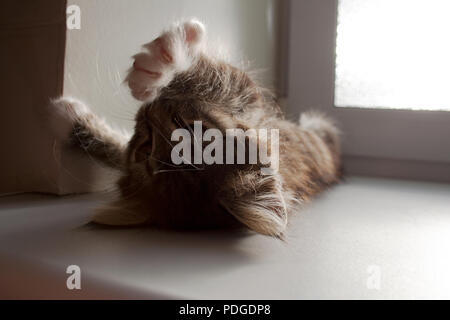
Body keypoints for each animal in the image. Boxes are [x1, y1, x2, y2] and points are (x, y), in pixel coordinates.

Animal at [51, 19, 340, 238]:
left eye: (190, 130)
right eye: (146, 150)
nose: (148, 112)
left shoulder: (251, 99)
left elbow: (217, 75)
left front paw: (161, 63)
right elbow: (115, 147)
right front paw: (72, 120)